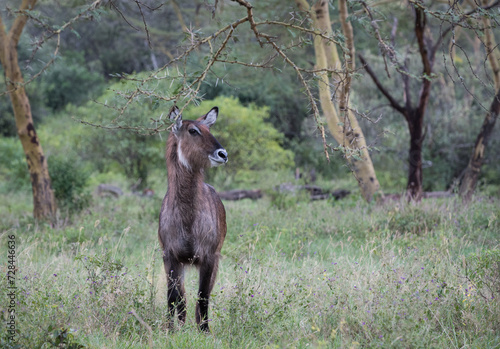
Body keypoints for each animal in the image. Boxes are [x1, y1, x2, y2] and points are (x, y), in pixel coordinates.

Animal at [158, 104, 229, 330]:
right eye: (193, 131)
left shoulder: (209, 257)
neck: (187, 219)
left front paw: (204, 331)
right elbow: (173, 297)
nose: (223, 154)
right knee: (182, 298)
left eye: (209, 129)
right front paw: (171, 330)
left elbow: (203, 296)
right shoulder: (170, 256)